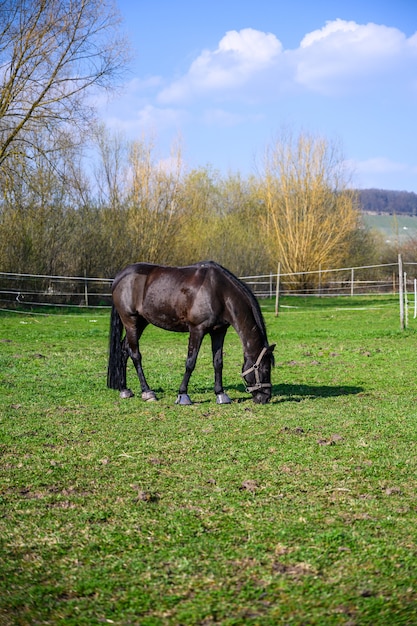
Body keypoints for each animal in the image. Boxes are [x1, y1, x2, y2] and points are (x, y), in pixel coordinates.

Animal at [108, 260, 272, 402]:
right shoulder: (196, 330)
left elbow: (218, 362)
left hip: (141, 322)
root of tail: (120, 277)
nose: (265, 398)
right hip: (130, 321)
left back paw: (124, 389)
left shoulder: (218, 331)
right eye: (265, 370)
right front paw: (183, 395)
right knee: (135, 355)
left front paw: (220, 393)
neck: (218, 292)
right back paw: (147, 392)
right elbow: (190, 362)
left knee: (124, 350)